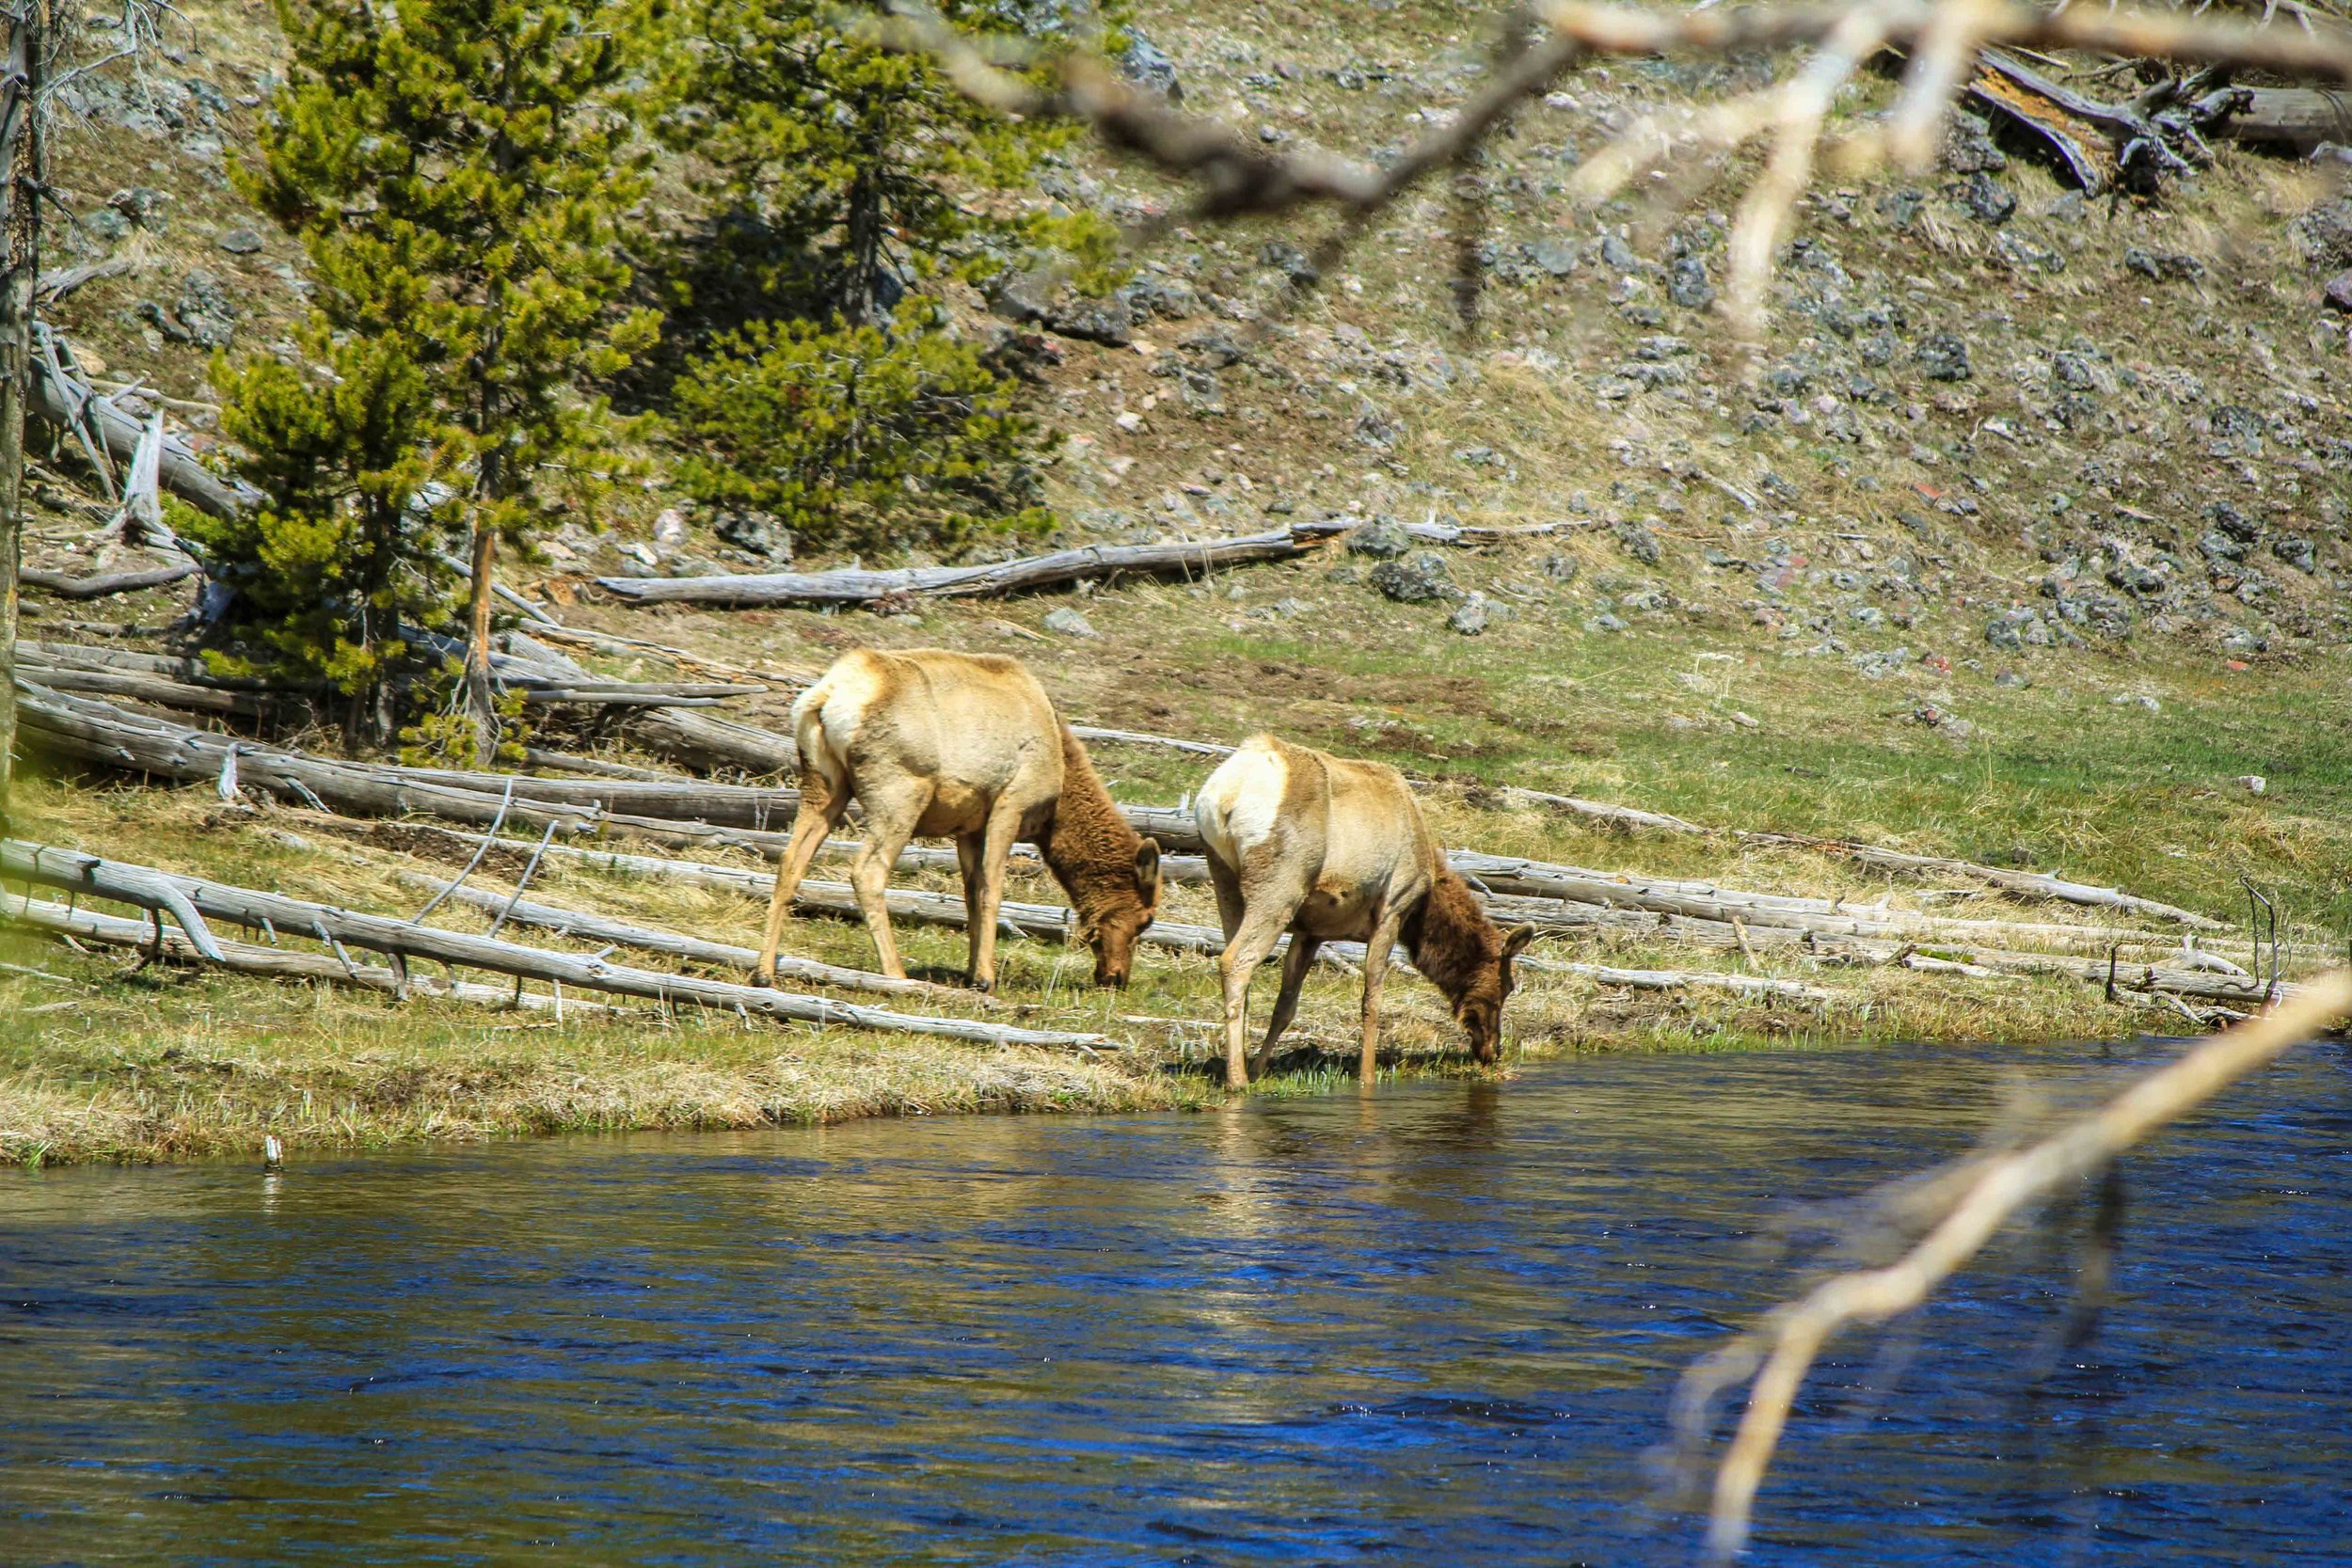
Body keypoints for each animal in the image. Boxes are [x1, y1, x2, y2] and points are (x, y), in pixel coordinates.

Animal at [754, 648, 1162, 993]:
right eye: (1145, 919)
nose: (1115, 977)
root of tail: (824, 697)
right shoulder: (1011, 804)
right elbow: (992, 890)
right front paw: (985, 978)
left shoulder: (969, 826)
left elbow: (970, 893)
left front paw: (970, 971)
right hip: (900, 791)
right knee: (867, 871)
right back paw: (896, 974)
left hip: (823, 783)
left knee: (791, 861)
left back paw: (764, 972)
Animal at [1193, 733, 1536, 1090]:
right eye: (1507, 985)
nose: (1492, 1050)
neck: (1422, 909)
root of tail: (1227, 790)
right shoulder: (1394, 907)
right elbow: (1372, 999)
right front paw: (1367, 1076)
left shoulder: (1311, 930)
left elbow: (1285, 1005)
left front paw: (1261, 1067)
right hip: (1280, 884)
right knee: (1236, 961)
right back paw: (1237, 1079)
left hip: (1223, 876)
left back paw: (1241, 1067)